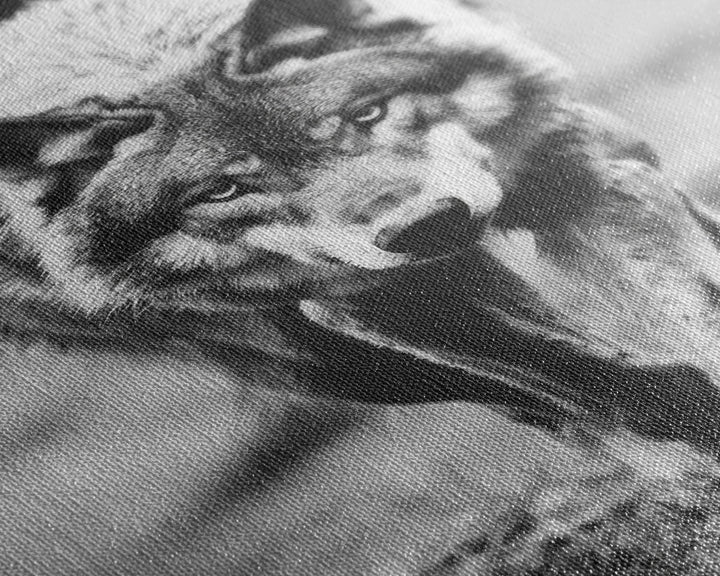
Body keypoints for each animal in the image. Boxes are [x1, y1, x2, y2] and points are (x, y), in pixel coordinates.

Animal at [2, 0, 720, 574]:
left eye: (367, 113)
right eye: (223, 190)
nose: (424, 226)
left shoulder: (571, 164)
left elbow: (682, 299)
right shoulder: (366, 299)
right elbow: (595, 377)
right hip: (317, 359)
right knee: (542, 396)